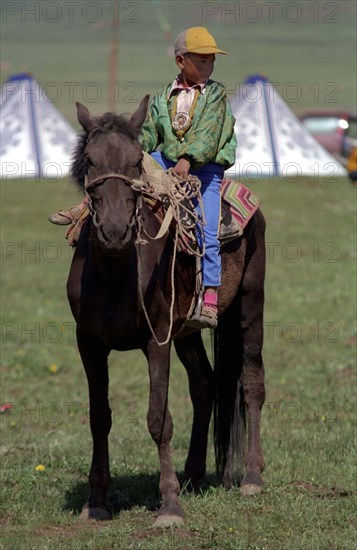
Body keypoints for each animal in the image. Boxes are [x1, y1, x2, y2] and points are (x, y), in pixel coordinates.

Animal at [67, 97, 266, 528]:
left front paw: (170, 506)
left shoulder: (155, 340)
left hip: (250, 305)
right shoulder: (88, 343)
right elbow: (99, 417)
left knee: (252, 385)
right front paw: (96, 501)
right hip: (187, 333)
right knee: (205, 385)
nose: (114, 230)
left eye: (135, 163)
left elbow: (159, 419)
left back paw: (252, 477)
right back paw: (192, 474)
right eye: (90, 160)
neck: (116, 272)